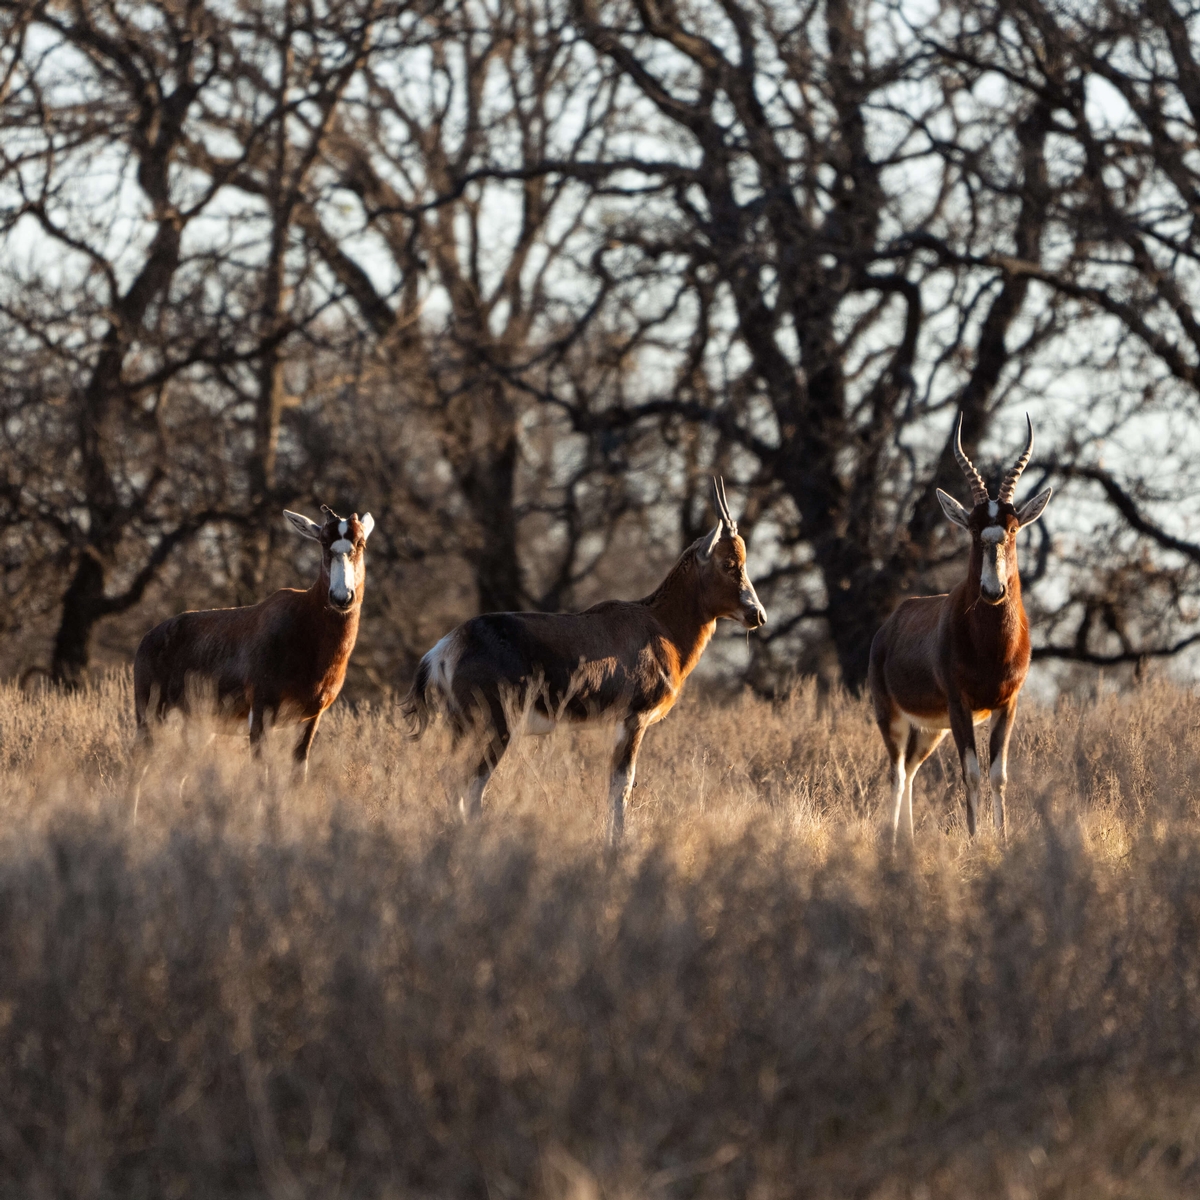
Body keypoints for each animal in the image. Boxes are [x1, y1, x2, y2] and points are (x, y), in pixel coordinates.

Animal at [133, 505, 374, 772]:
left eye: (361, 542)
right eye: (323, 541)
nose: (342, 597)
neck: (304, 619)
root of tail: (149, 637)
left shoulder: (310, 717)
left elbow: (298, 770)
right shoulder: (261, 711)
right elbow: (261, 771)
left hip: (198, 727)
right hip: (151, 715)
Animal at [401, 478, 766, 843]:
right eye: (729, 563)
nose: (758, 615)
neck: (657, 621)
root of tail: (445, 647)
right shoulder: (633, 722)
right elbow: (622, 787)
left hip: (462, 728)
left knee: (451, 777)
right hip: (494, 727)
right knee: (468, 782)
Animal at [868, 415, 1052, 844]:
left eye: (1013, 529)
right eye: (971, 529)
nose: (993, 591)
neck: (991, 649)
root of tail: (890, 625)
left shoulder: (1007, 704)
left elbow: (998, 774)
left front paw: (1002, 840)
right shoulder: (959, 704)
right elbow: (970, 773)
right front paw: (974, 839)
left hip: (930, 728)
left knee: (913, 770)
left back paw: (909, 842)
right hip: (893, 716)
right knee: (897, 772)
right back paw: (891, 841)